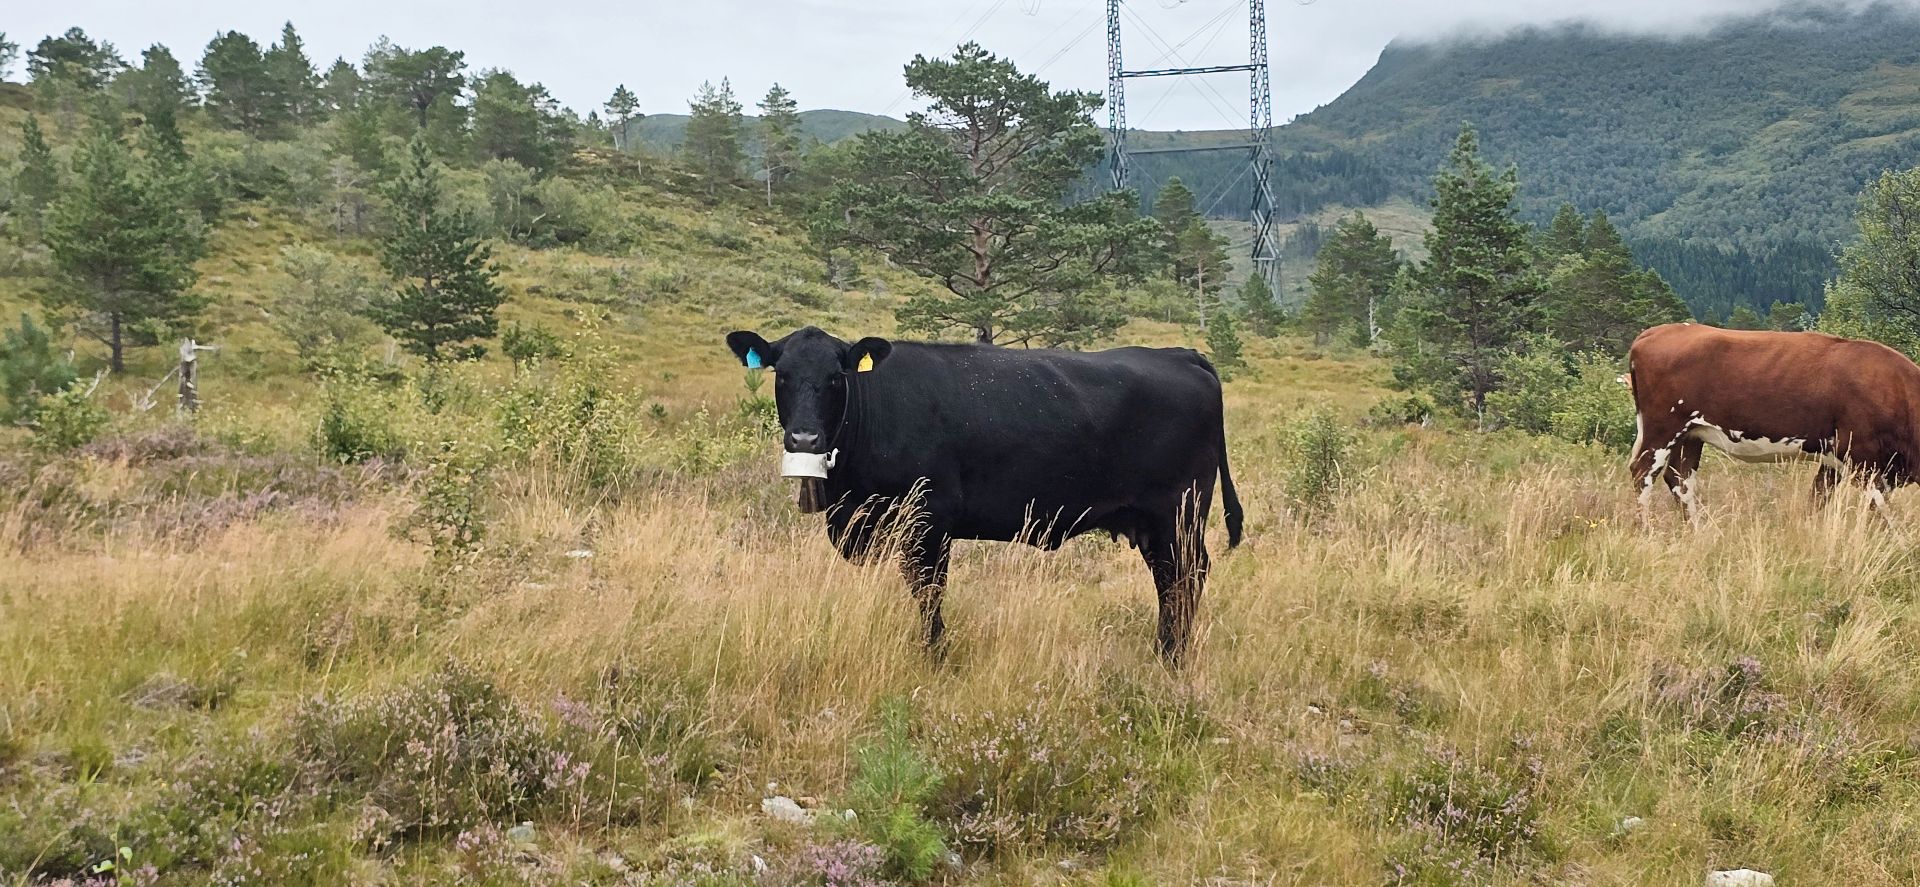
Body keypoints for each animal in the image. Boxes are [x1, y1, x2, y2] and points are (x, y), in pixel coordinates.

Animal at [724, 326, 1244, 664]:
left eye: (836, 377)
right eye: (781, 374)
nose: (805, 438)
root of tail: (1181, 355)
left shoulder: (929, 521)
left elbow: (929, 591)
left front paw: (934, 655)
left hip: (1179, 514)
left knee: (1186, 577)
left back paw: (1172, 657)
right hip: (1155, 524)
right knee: (1169, 581)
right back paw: (1163, 650)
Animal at [1628, 322, 1920, 518]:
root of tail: (1655, 332)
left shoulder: (1835, 460)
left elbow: (1818, 497)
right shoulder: (1863, 457)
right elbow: (1880, 509)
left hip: (1691, 434)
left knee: (1680, 478)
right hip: (1663, 429)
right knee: (1643, 473)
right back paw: (1647, 529)